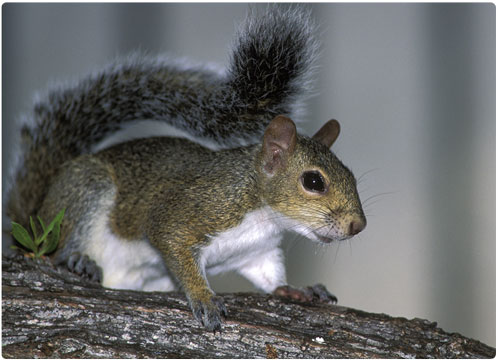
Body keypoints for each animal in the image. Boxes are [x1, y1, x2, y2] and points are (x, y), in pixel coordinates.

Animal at [4, 6, 368, 334]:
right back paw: (76, 259)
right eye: (313, 181)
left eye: (351, 176)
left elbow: (270, 276)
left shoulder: (257, 252)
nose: (358, 225)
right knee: (62, 245)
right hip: (86, 189)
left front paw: (297, 290)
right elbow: (172, 243)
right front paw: (203, 298)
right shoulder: (193, 211)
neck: (262, 212)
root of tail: (37, 215)